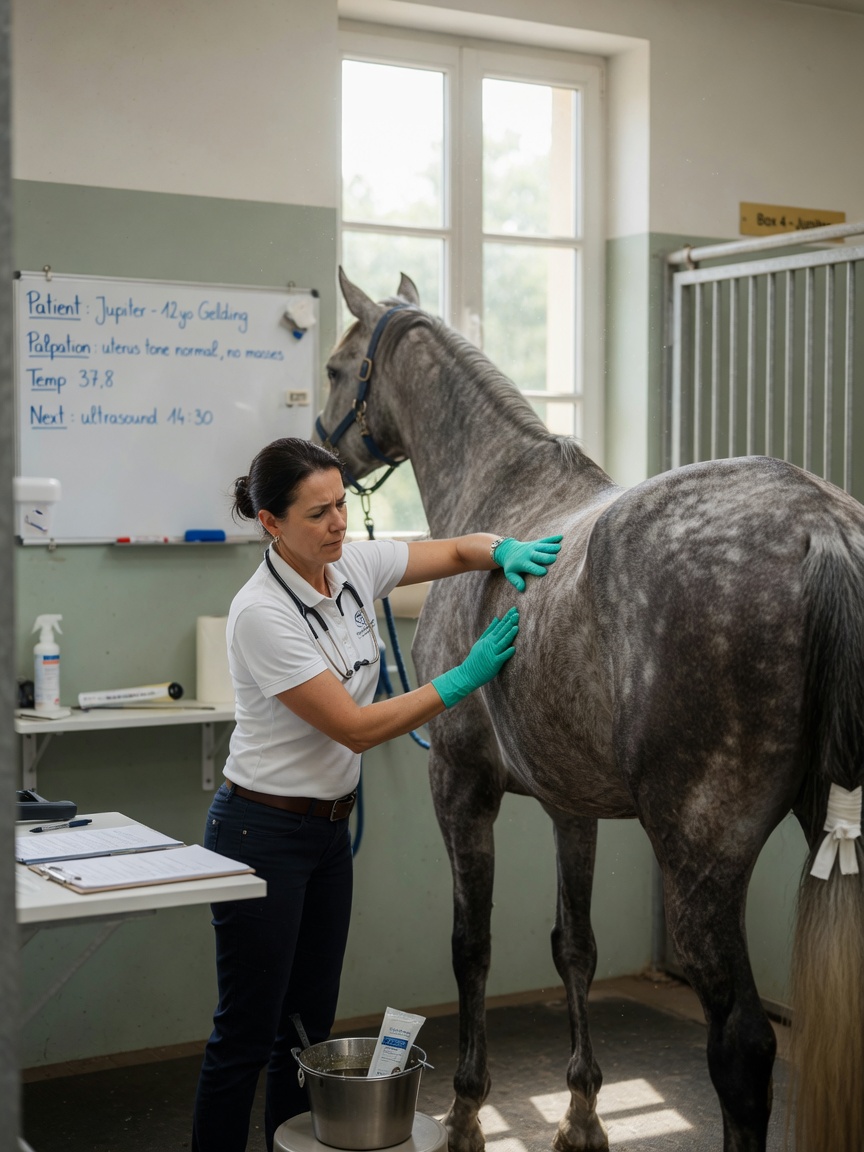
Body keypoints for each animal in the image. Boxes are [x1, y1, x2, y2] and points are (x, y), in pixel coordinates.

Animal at [316, 269, 864, 1152]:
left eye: (337, 367)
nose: (322, 454)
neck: (503, 489)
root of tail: (822, 528)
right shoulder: (570, 806)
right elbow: (574, 945)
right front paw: (580, 1115)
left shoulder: (461, 788)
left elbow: (472, 945)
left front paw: (466, 1112)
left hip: (700, 861)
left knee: (742, 1045)